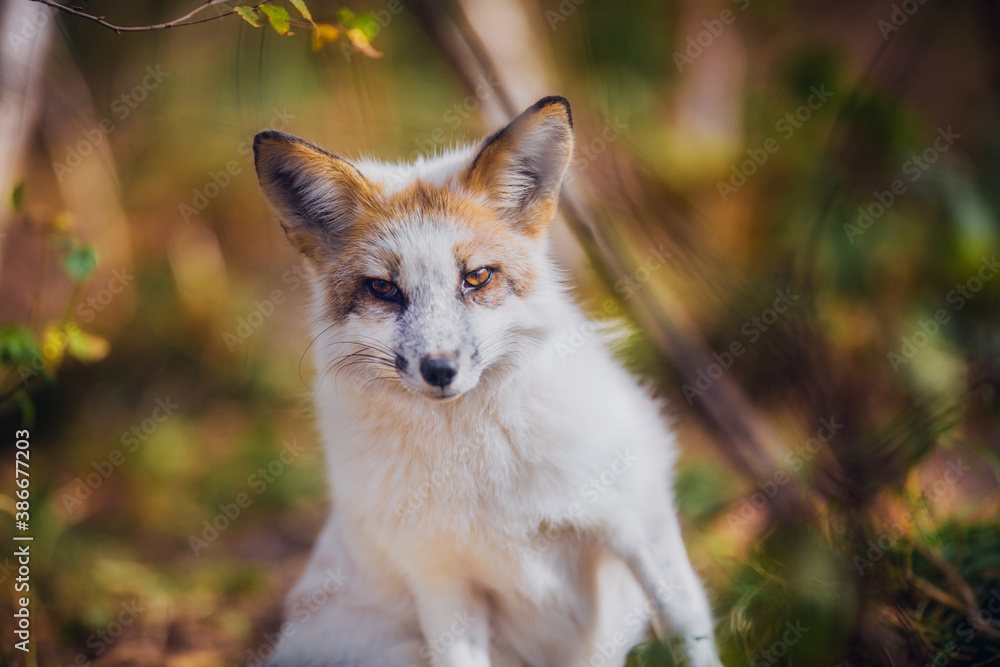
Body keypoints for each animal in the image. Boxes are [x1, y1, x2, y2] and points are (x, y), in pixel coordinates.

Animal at [252, 96, 724, 667]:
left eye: (476, 277)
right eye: (384, 289)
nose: (439, 370)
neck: (479, 467)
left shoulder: (637, 521)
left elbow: (686, 620)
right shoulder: (441, 579)